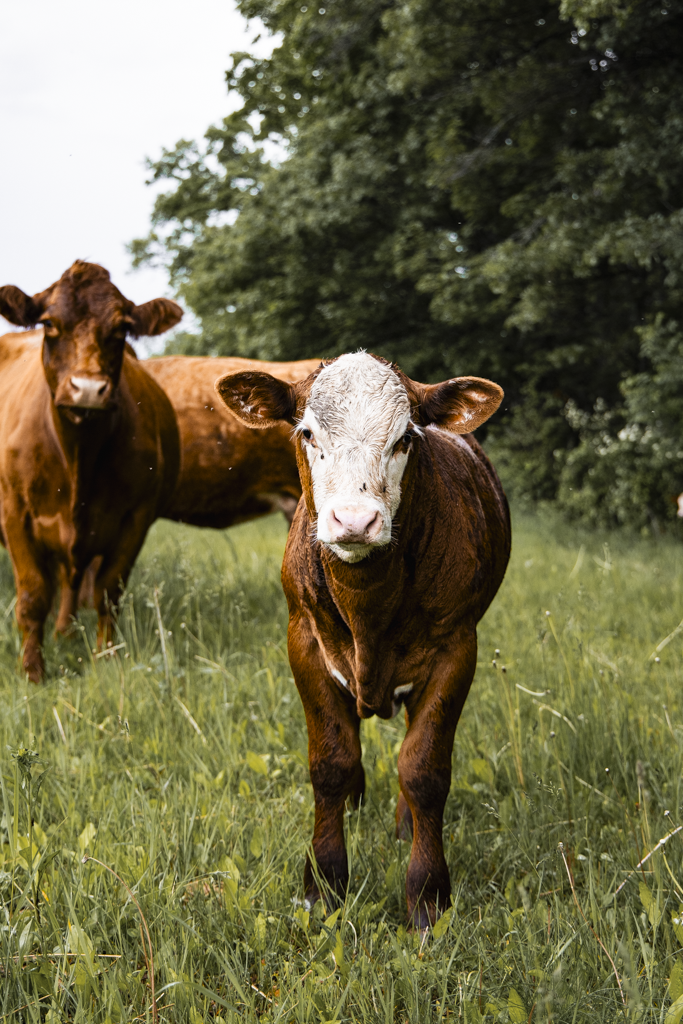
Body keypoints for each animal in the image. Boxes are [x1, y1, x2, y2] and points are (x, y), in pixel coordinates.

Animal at [0, 261, 181, 682]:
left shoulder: (136, 518)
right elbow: (32, 595)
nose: (87, 389)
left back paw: (65, 631)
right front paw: (33, 672)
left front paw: (106, 657)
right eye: (50, 323)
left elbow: (107, 591)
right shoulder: (14, 513)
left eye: (121, 328)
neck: (76, 456)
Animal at [215, 351, 510, 928]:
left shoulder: (456, 648)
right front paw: (324, 885)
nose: (355, 520)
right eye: (307, 432)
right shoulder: (304, 642)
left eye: (406, 438)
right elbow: (331, 762)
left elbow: (424, 767)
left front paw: (428, 895)